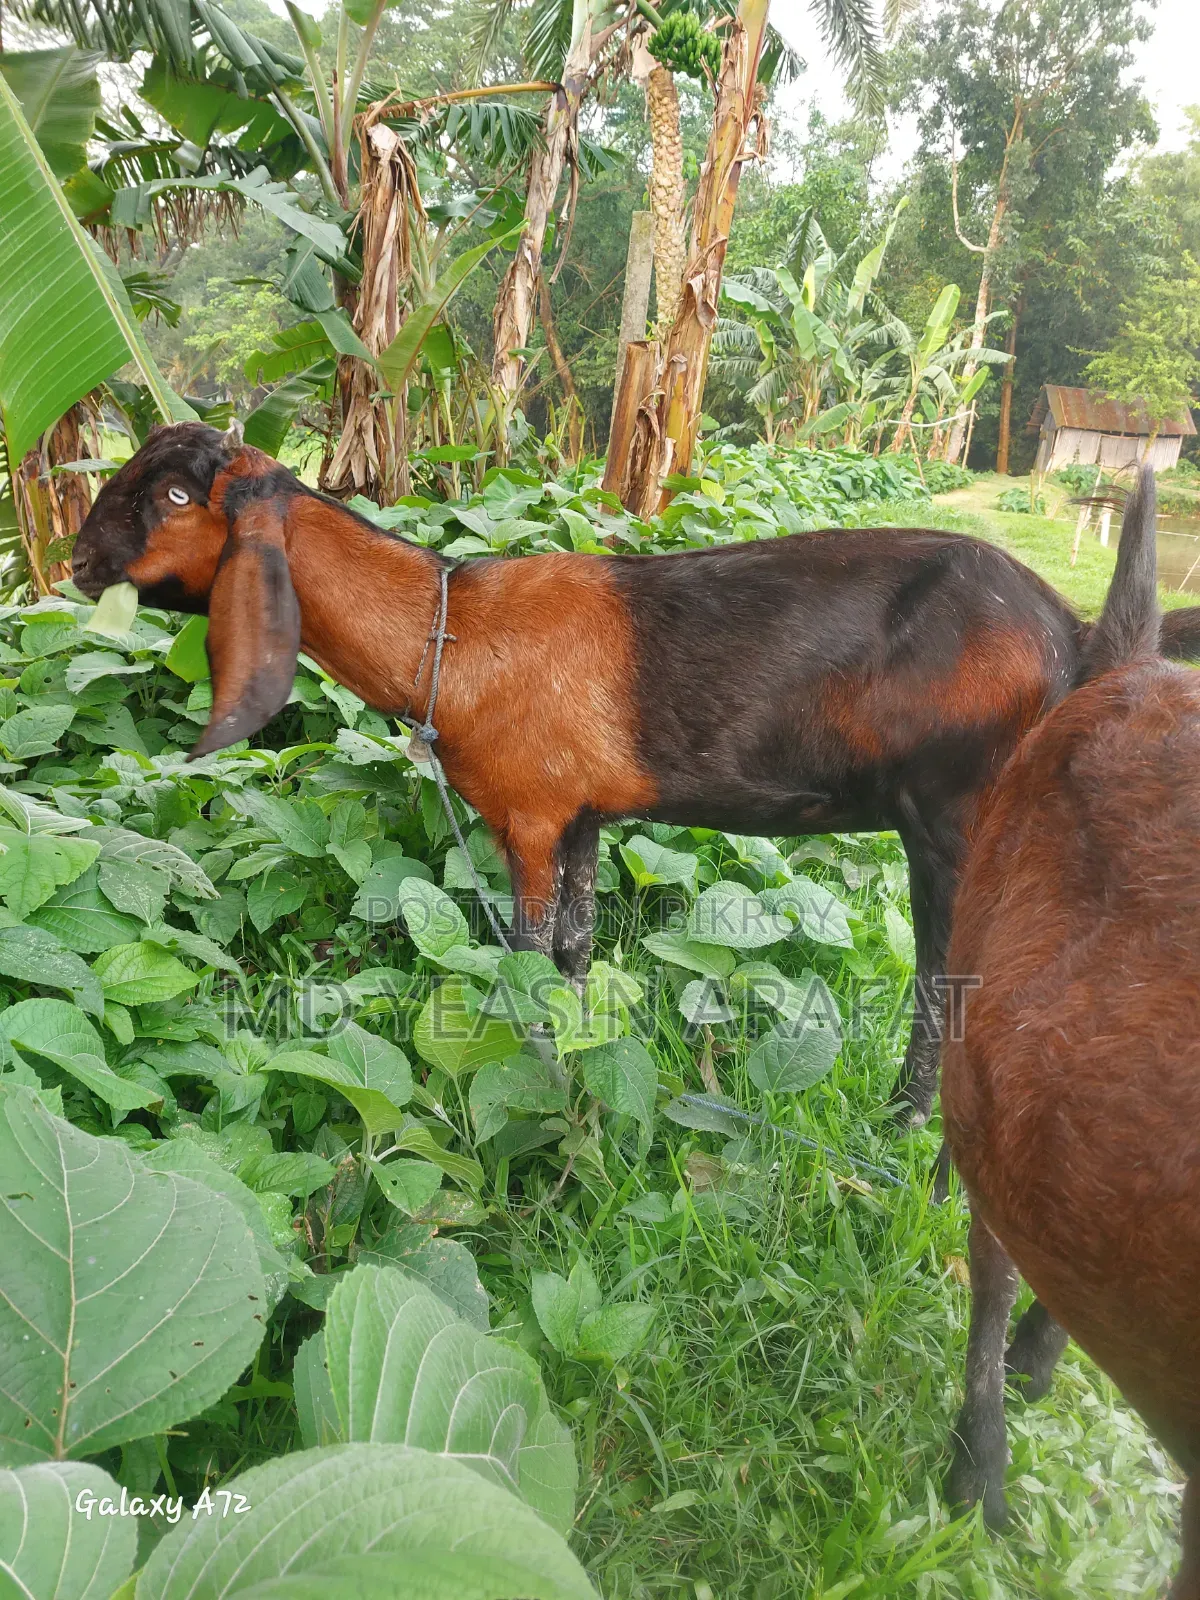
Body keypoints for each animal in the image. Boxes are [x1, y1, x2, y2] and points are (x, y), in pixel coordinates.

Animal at [70, 422, 1200, 1126]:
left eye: (175, 494)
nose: (76, 565)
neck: (451, 630)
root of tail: (1074, 635)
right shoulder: (580, 817)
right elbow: (574, 954)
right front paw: (576, 1079)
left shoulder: (526, 817)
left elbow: (526, 966)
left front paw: (526, 1091)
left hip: (956, 821)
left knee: (951, 984)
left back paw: (903, 1128)